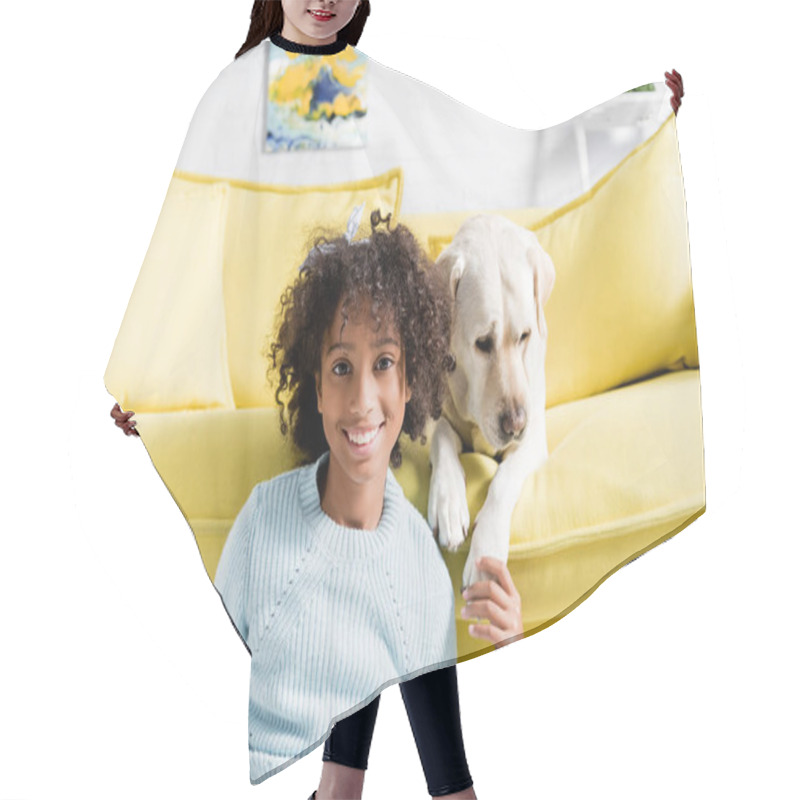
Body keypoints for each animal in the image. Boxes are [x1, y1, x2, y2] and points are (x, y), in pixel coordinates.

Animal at [428, 216, 552, 592]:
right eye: (482, 343)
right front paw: (449, 502)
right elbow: (442, 437)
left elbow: (504, 480)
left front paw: (486, 554)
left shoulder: (534, 440)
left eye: (525, 335)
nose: (516, 425)